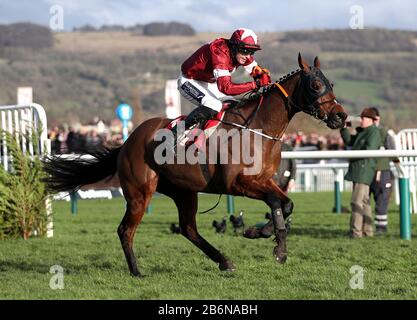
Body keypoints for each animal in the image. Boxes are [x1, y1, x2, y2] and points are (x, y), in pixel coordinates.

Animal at [44, 53, 346, 276]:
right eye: (315, 85)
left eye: (331, 83)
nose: (341, 117)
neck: (258, 129)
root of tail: (128, 141)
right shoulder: (238, 183)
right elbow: (275, 203)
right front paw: (272, 243)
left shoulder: (266, 179)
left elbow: (286, 204)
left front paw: (264, 235)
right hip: (140, 193)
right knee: (126, 230)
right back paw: (137, 271)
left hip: (184, 191)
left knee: (188, 228)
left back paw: (224, 261)